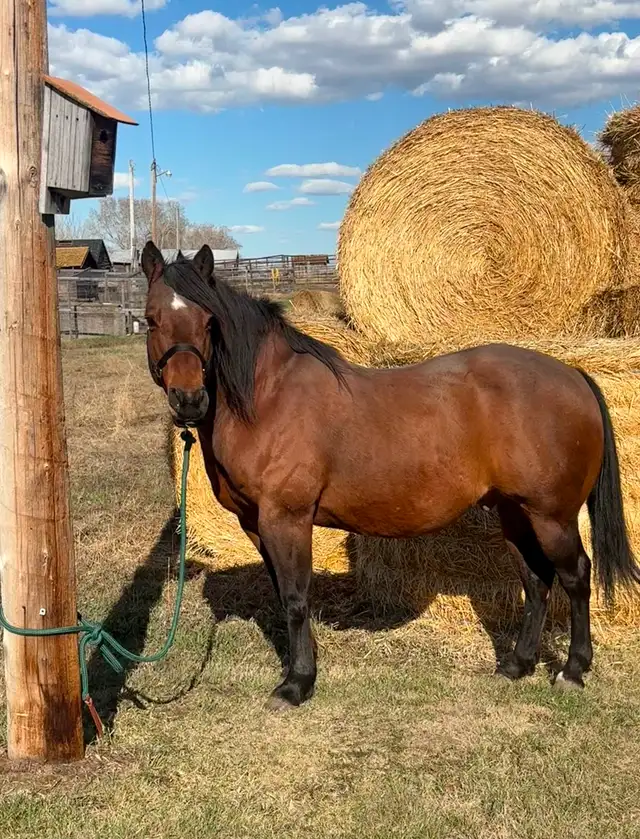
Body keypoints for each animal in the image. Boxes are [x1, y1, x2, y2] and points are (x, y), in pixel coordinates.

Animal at [142, 240, 640, 710]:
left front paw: (297, 683)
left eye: (210, 322)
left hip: (552, 516)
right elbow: (283, 593)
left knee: (576, 577)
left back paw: (573, 669)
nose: (189, 400)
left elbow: (297, 598)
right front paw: (303, 667)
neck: (270, 397)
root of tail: (572, 373)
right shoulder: (255, 523)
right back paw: (517, 664)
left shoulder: (287, 519)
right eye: (150, 320)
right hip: (516, 514)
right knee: (535, 580)